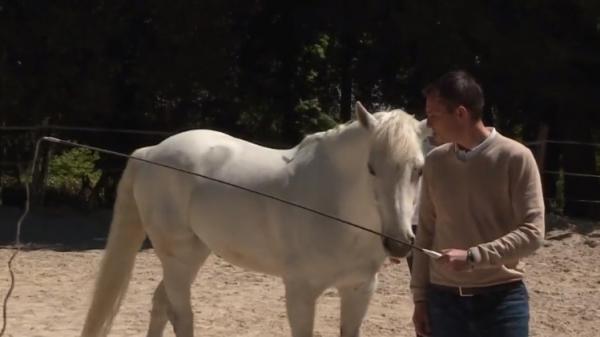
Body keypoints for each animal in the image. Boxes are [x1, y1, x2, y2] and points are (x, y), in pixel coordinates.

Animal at [82, 101, 428, 336]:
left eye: (419, 169)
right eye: (371, 168)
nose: (398, 243)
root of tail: (151, 152)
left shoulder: (359, 289)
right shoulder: (301, 292)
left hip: (192, 256)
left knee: (160, 304)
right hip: (178, 259)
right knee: (180, 314)